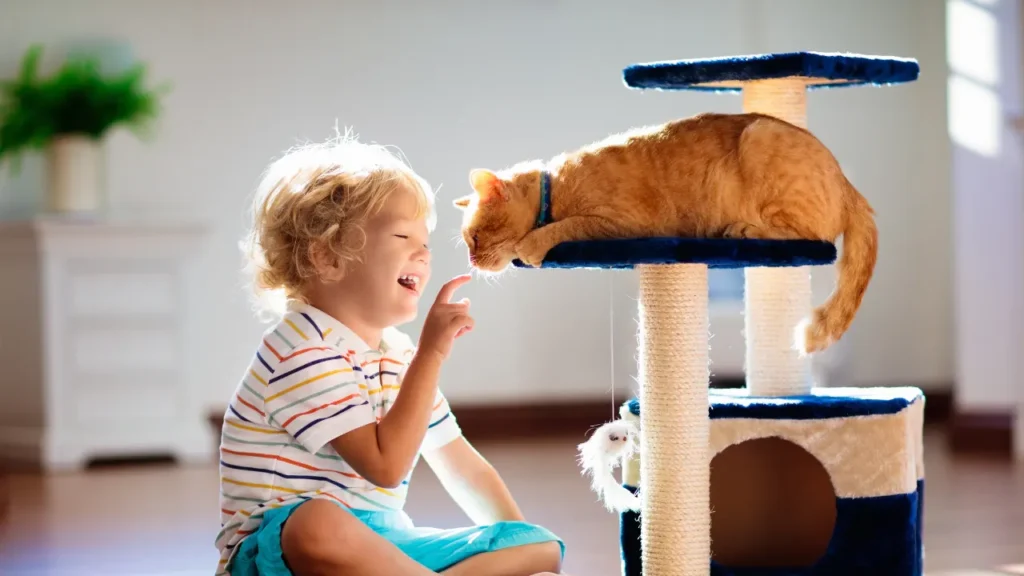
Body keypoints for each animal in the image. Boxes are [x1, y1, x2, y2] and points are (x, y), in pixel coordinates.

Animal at [456, 111, 880, 354]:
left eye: (474, 238)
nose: (471, 260)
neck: (556, 187)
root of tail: (848, 183)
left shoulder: (619, 222)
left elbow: (565, 226)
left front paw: (531, 244)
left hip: (761, 139)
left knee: (808, 236)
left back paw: (740, 229)